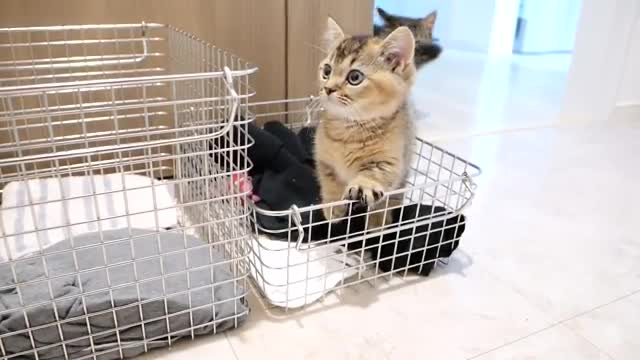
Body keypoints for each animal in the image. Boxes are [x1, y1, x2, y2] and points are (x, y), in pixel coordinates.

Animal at [314, 17, 416, 228]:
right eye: (327, 71)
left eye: (355, 77)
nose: (327, 88)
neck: (348, 130)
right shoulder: (323, 160)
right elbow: (329, 182)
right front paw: (333, 208)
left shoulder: (391, 161)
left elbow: (375, 175)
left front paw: (363, 186)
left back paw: (377, 223)